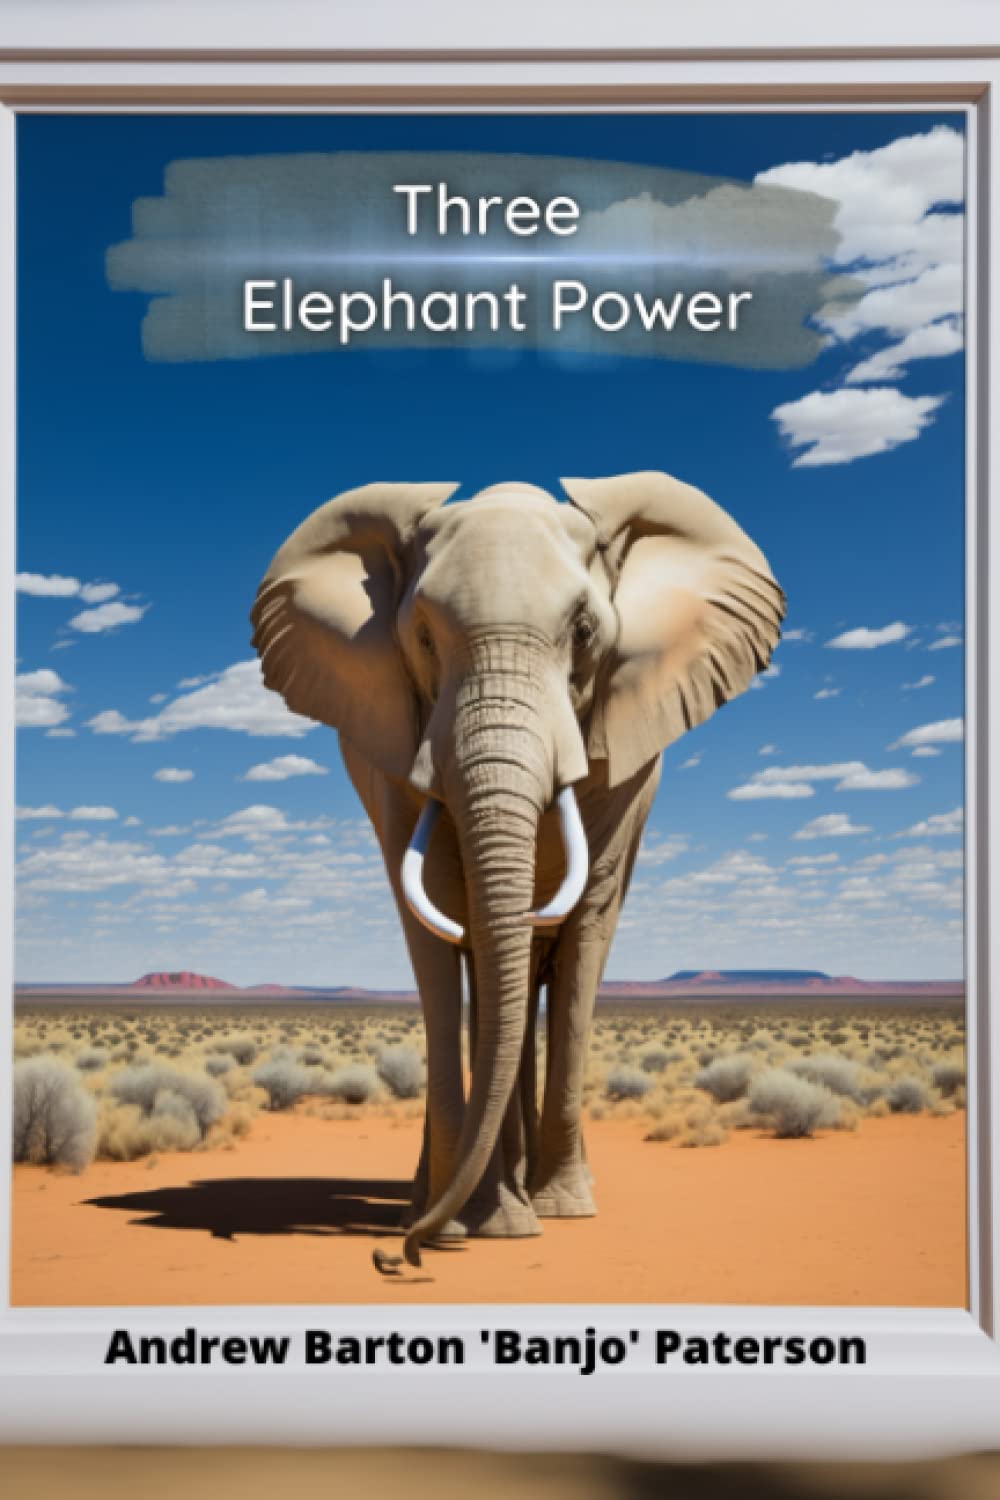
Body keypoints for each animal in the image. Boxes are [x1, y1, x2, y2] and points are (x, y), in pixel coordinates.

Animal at [250, 471, 784, 1268]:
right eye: (423, 637)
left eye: (586, 632)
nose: (394, 1255)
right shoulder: (394, 753)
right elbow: (440, 923)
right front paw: (473, 1226)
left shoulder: (626, 762)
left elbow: (586, 928)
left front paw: (558, 1211)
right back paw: (451, 1200)